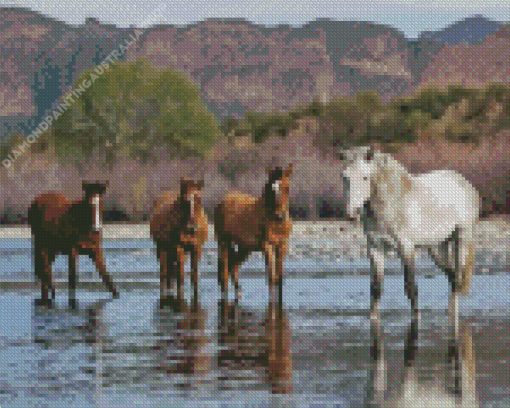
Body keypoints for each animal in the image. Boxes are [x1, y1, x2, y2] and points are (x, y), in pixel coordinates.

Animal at [28, 180, 119, 308]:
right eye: (89, 205)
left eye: (101, 204)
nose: (96, 229)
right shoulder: (73, 251)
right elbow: (73, 279)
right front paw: (72, 303)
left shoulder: (96, 251)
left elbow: (106, 277)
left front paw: (116, 295)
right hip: (41, 245)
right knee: (44, 269)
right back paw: (47, 298)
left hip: (52, 248)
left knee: (45, 269)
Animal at [215, 163, 294, 302]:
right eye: (272, 189)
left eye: (287, 187)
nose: (279, 216)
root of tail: (222, 202)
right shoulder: (267, 246)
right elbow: (271, 278)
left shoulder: (282, 245)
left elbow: (279, 278)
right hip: (223, 242)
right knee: (224, 272)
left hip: (245, 248)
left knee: (233, 266)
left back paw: (239, 292)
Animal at [340, 145, 480, 340]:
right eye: (345, 177)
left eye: (365, 177)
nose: (351, 213)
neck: (392, 203)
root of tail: (464, 183)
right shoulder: (375, 248)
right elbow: (376, 287)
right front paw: (372, 318)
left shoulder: (406, 248)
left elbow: (411, 287)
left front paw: (416, 317)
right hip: (436, 247)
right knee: (452, 276)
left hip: (461, 239)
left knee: (458, 277)